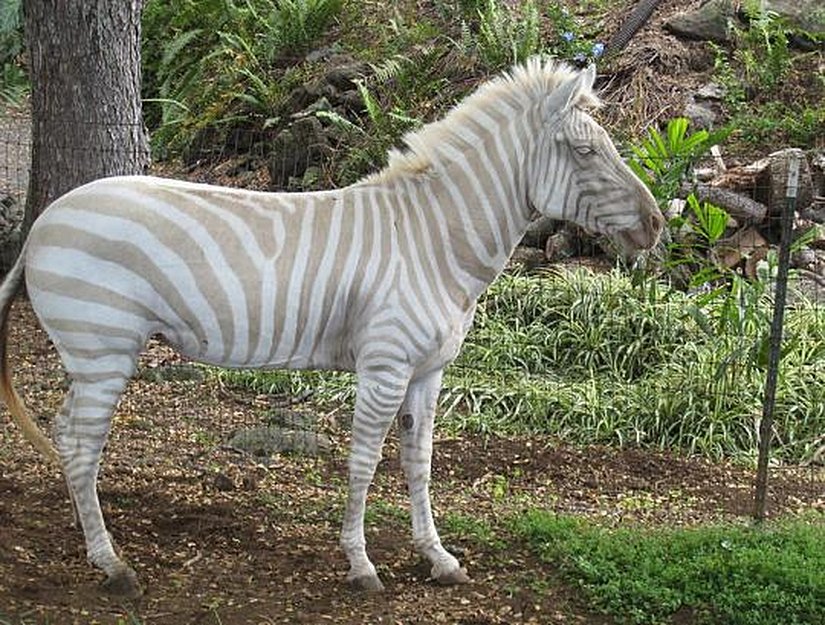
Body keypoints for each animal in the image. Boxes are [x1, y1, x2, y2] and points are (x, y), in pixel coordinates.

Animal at [0, 58, 663, 597]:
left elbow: (420, 461)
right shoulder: (385, 364)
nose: (658, 226)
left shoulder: (428, 372)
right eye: (585, 152)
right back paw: (112, 565)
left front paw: (438, 558)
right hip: (103, 349)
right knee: (81, 442)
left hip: (90, 357)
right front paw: (361, 565)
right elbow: (365, 461)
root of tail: (43, 223)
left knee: (65, 434)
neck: (432, 242)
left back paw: (91, 538)